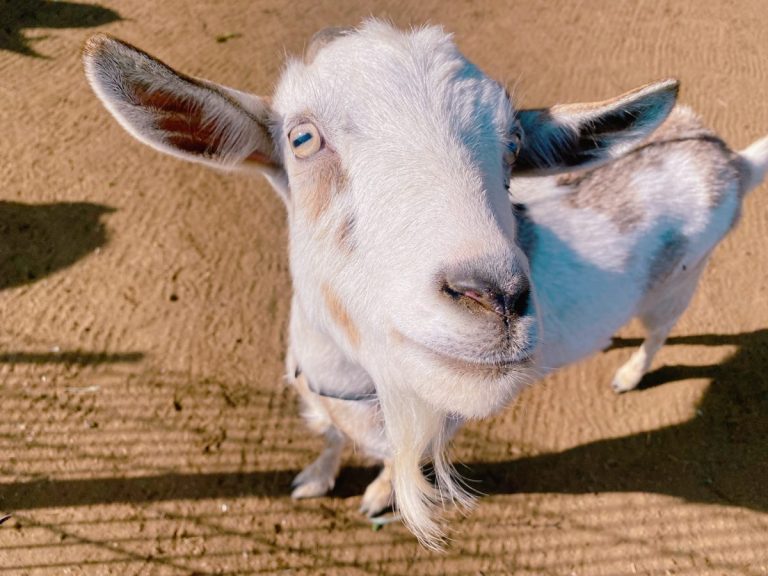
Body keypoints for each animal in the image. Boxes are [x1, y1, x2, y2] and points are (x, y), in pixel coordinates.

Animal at [82, 20, 768, 549]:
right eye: (302, 138)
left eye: (513, 144)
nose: (495, 300)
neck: (350, 378)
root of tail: (730, 160)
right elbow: (330, 439)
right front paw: (314, 479)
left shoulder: (441, 422)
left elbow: (395, 460)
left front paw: (378, 495)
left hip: (679, 284)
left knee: (661, 332)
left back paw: (629, 373)